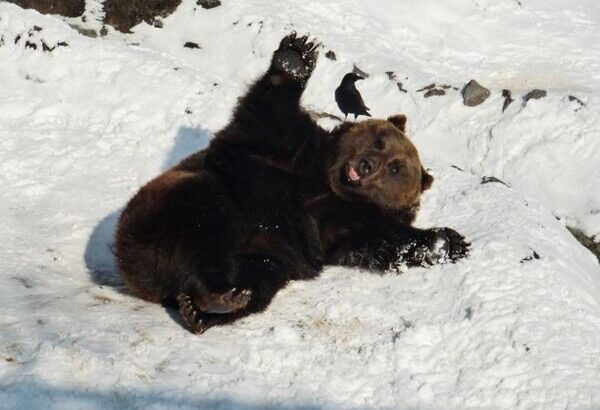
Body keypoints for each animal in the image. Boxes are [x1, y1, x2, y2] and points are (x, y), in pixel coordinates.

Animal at [113, 32, 468, 334]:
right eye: (379, 141)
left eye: (396, 168)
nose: (366, 166)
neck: (330, 184)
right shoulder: (287, 154)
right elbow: (269, 113)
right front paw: (295, 58)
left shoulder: (343, 224)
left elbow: (385, 241)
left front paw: (448, 242)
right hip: (174, 205)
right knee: (201, 213)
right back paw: (214, 294)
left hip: (264, 256)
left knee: (256, 279)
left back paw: (209, 305)